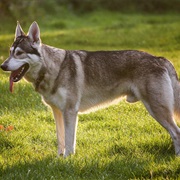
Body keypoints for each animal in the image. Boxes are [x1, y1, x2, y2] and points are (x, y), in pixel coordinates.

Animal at [1, 21, 180, 158]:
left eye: (19, 53)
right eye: (10, 53)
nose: (2, 66)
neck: (53, 68)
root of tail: (160, 58)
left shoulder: (70, 112)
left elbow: (69, 141)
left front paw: (67, 159)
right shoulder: (57, 111)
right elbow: (60, 140)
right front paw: (58, 159)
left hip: (157, 110)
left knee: (176, 133)